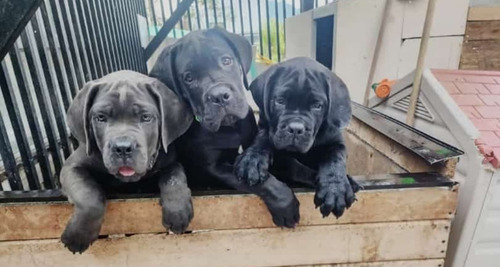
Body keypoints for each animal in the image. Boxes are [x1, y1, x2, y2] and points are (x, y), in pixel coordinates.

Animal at [61, 70, 193, 253]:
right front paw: (78, 236)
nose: (122, 148)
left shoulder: (169, 159)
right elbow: (89, 195)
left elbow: (174, 175)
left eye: (146, 117)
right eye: (100, 118)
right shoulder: (72, 166)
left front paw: (177, 212)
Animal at [151, 28, 300, 229]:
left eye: (227, 60)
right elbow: (259, 183)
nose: (220, 96)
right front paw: (284, 202)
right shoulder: (214, 168)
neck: (229, 127)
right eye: (188, 78)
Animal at [234, 57, 360, 219]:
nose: (295, 129)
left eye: (317, 105)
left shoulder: (336, 142)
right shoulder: (269, 134)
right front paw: (252, 161)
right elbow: (286, 160)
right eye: (280, 101)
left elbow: (335, 158)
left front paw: (336, 188)